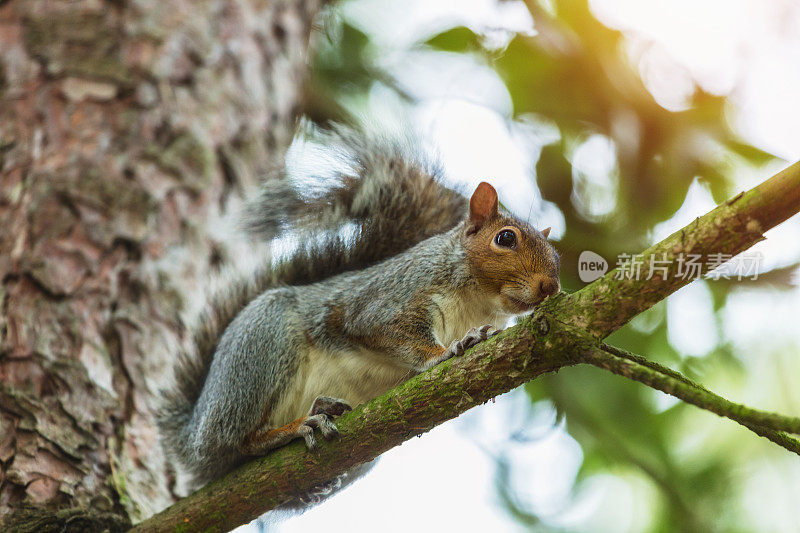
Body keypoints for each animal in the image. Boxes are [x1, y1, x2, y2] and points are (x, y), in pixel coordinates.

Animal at [155, 124, 556, 490]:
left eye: (556, 257)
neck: (478, 303)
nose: (550, 286)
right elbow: (391, 332)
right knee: (237, 440)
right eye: (505, 238)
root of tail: (193, 436)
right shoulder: (391, 298)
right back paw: (296, 427)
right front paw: (445, 351)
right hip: (263, 346)